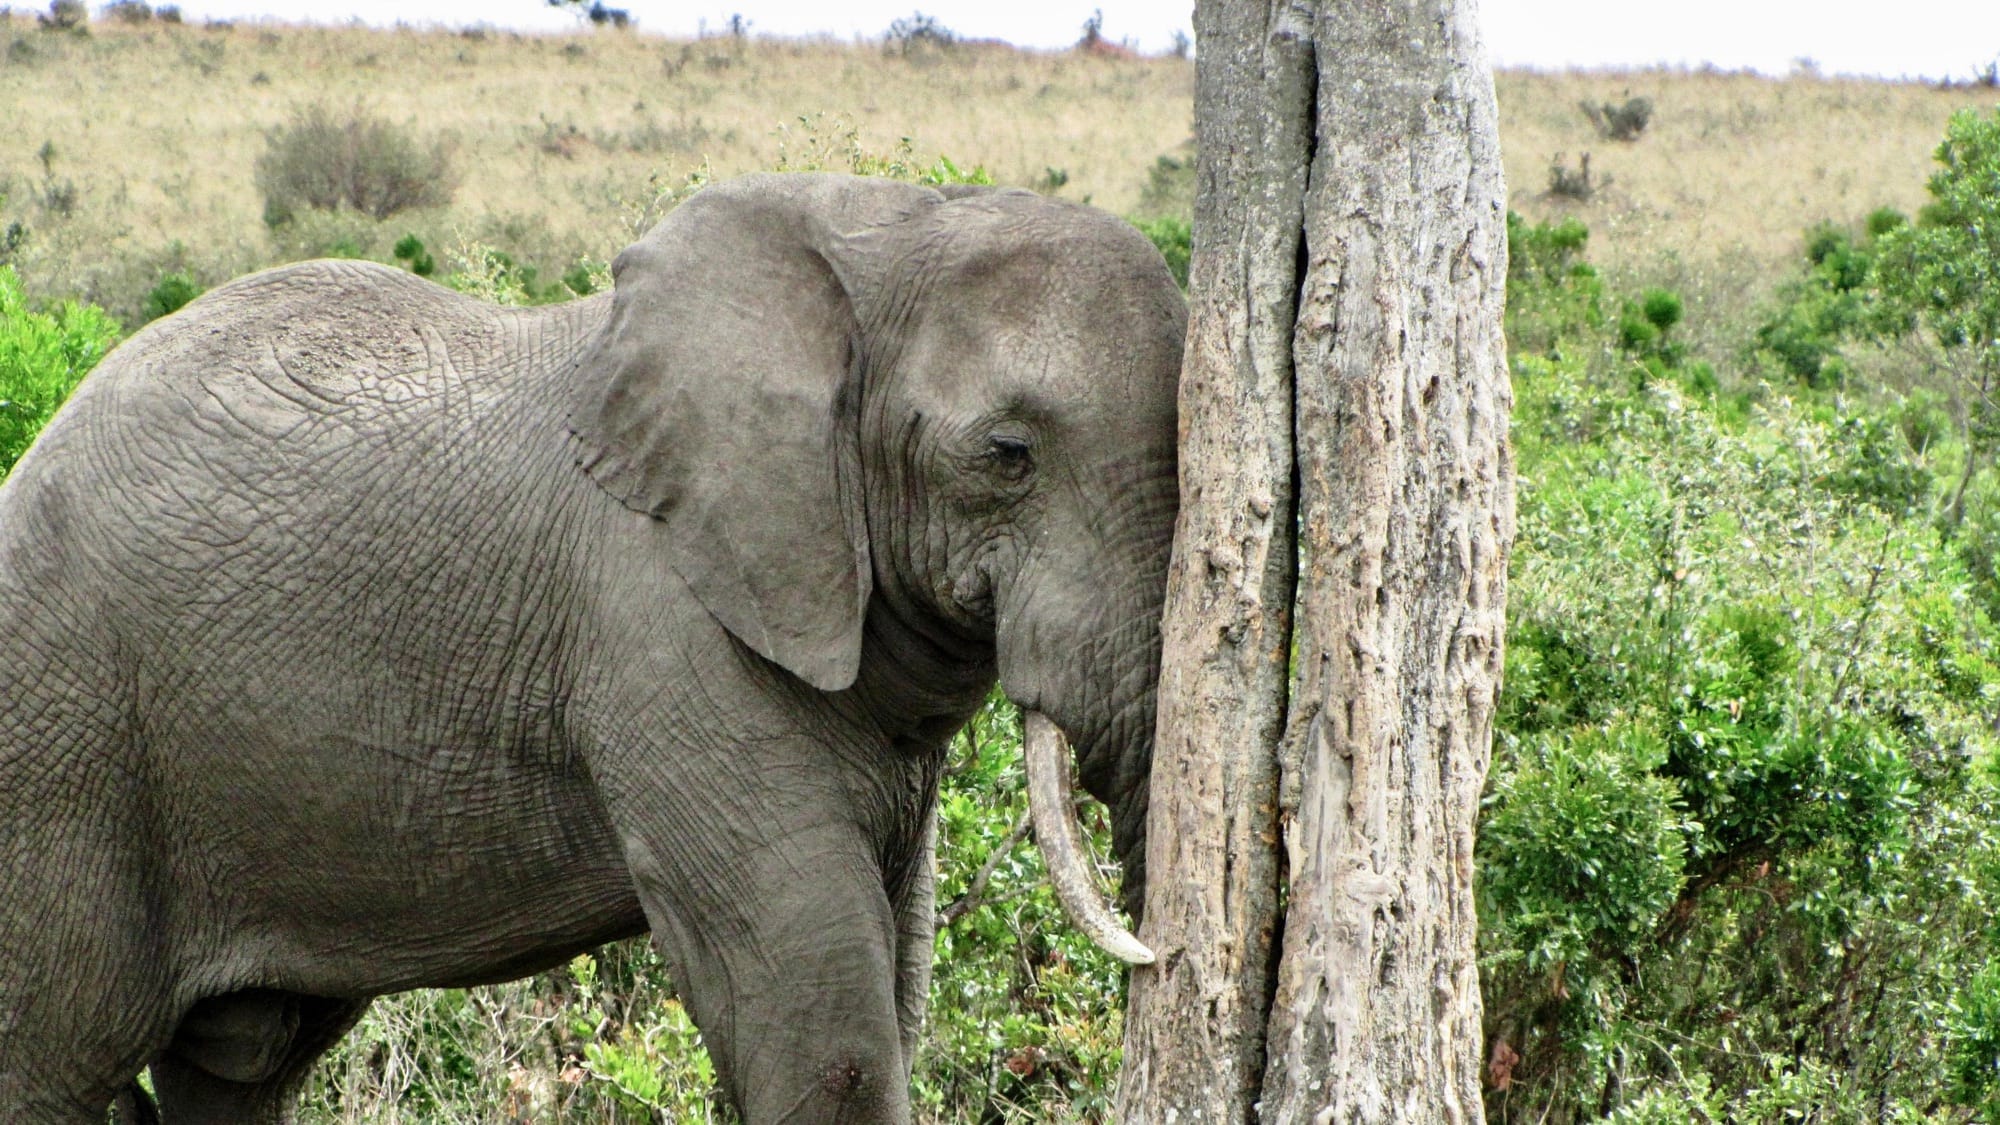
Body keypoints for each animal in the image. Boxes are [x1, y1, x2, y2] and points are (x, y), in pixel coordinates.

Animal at [0, 172, 1185, 1123]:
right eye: (1008, 454)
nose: (1162, 952)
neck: (887, 236)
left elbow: (897, 979)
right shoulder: (661, 625)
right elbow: (823, 1013)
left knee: (241, 1066)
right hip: (66, 750)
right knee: (46, 1062)